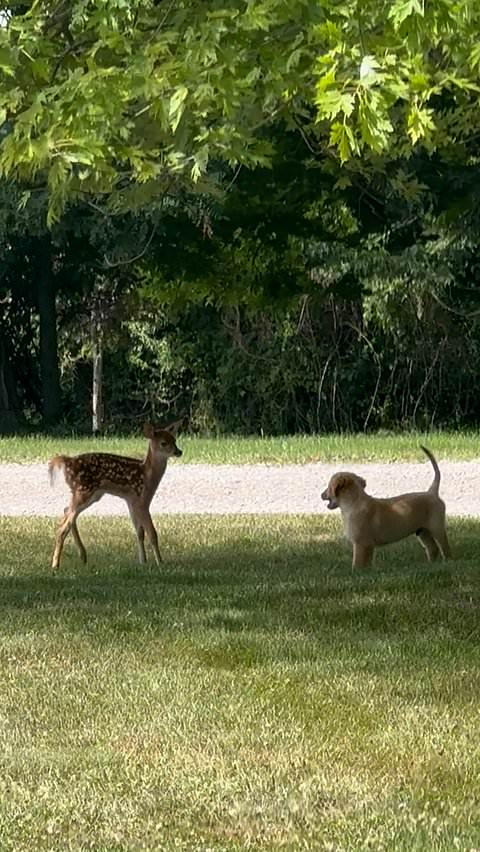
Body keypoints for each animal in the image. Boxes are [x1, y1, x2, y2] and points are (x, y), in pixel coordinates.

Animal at [48, 421, 183, 570]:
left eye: (174, 440)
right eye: (163, 443)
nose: (179, 451)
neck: (147, 476)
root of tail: (67, 461)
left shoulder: (131, 501)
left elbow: (139, 532)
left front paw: (143, 561)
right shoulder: (142, 501)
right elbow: (152, 533)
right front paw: (160, 563)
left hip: (91, 494)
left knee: (67, 512)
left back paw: (82, 555)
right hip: (83, 491)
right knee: (63, 526)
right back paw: (55, 565)